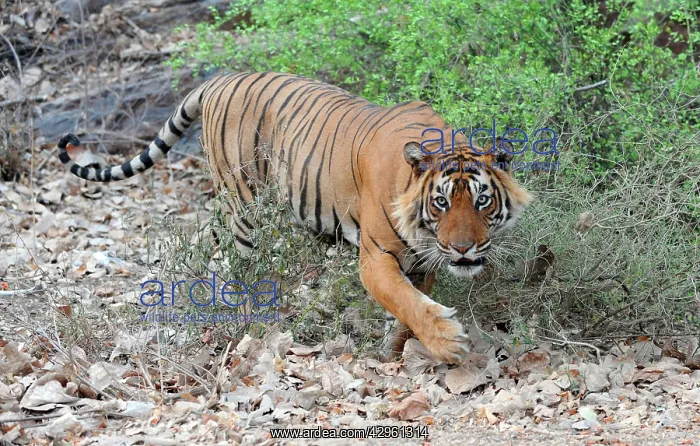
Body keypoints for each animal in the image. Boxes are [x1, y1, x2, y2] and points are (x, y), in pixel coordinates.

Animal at [57, 72, 533, 364]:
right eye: (441, 203)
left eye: (482, 201)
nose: (463, 248)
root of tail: (219, 79)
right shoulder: (376, 258)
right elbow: (405, 301)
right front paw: (448, 343)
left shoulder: (423, 262)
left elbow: (407, 309)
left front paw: (394, 351)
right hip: (245, 204)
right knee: (244, 269)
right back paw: (256, 322)